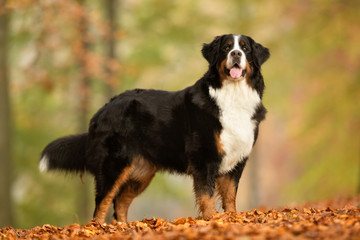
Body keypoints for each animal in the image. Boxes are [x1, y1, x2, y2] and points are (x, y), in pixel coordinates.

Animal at [40, 33, 270, 223]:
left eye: (245, 48)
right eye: (226, 47)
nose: (236, 54)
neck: (232, 95)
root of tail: (104, 107)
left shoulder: (237, 159)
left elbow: (230, 196)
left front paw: (233, 218)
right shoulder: (204, 158)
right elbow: (207, 195)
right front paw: (212, 220)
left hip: (140, 172)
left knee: (120, 202)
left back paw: (122, 227)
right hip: (114, 164)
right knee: (102, 202)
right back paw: (98, 228)